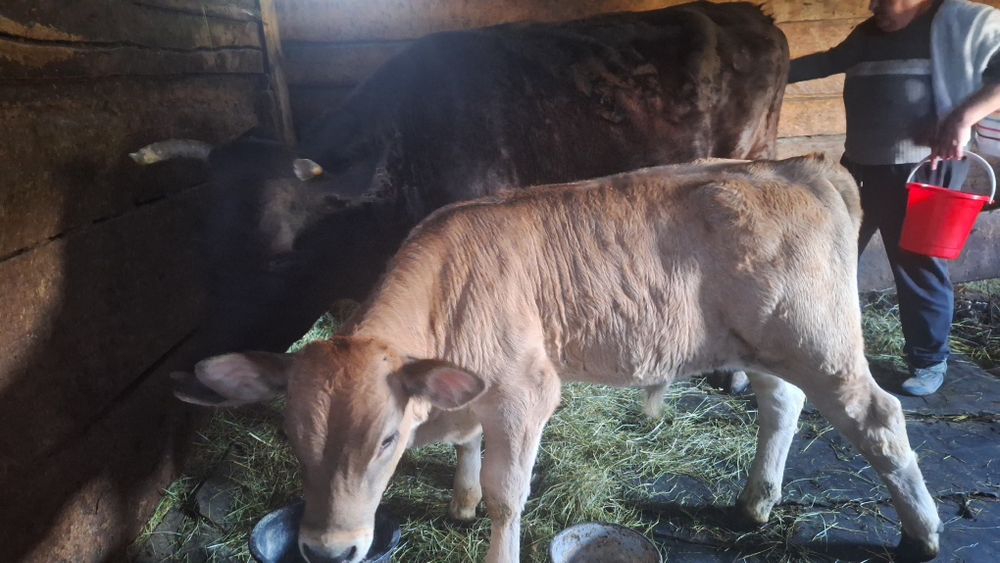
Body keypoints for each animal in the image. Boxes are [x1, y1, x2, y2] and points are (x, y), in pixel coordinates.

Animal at [175, 156, 942, 563]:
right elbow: (470, 446)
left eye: (388, 439)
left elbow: (506, 494)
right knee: (781, 403)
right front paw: (457, 499)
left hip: (820, 338)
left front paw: (490, 534)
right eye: (293, 434)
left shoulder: (525, 393)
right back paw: (756, 500)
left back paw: (925, 532)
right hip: (763, 342)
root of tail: (799, 164)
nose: (328, 550)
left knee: (879, 419)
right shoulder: (473, 388)